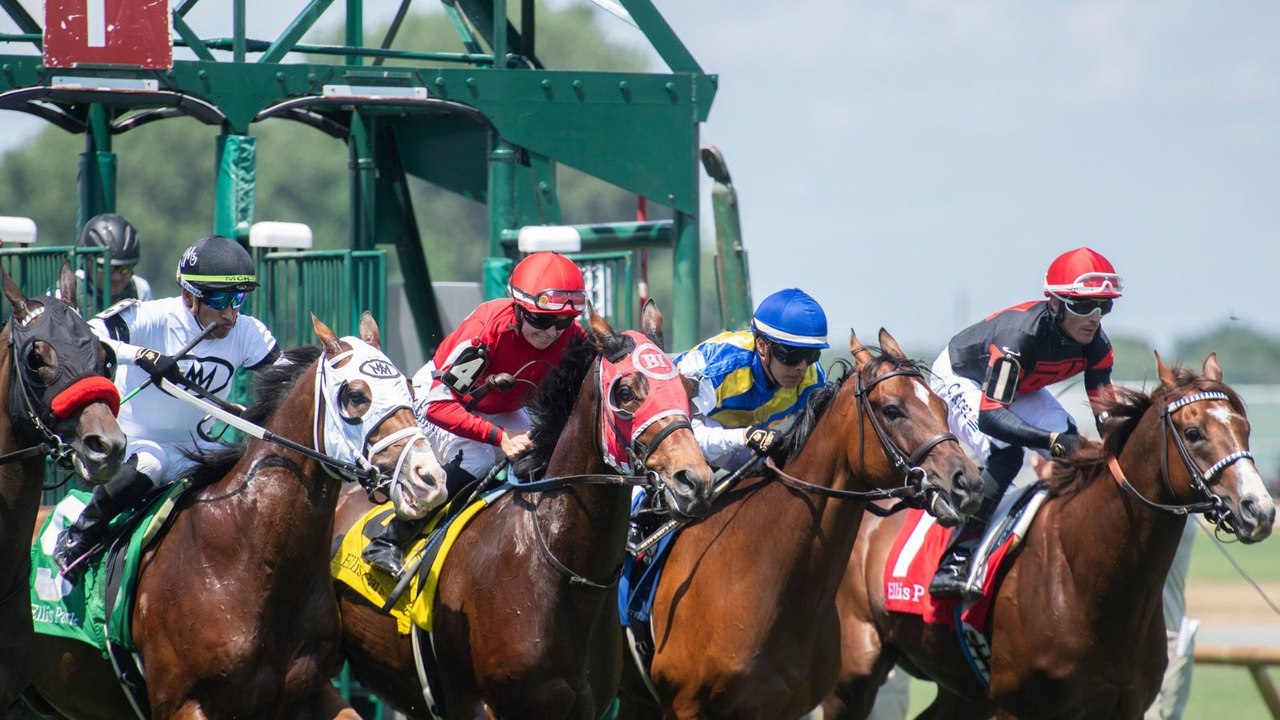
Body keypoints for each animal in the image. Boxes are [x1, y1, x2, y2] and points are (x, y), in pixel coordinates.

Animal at [24, 312, 446, 719]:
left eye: (410, 390)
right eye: (356, 395)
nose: (429, 478)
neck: (246, 553)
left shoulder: (308, 693)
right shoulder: (182, 702)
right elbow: (100, 329)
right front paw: (156, 361)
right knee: (146, 462)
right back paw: (70, 546)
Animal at [333, 299, 715, 719]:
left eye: (686, 388)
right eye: (626, 391)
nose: (694, 480)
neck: (558, 569)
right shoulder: (476, 706)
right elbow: (444, 401)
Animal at [823, 353, 1277, 720]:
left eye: (1246, 427)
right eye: (1194, 433)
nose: (1259, 508)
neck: (1087, 578)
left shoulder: (1122, 706)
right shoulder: (1016, 705)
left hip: (964, 692)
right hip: (855, 671)